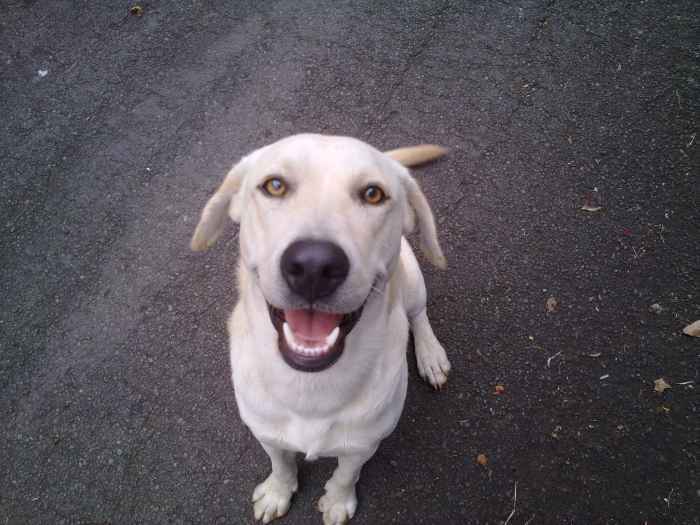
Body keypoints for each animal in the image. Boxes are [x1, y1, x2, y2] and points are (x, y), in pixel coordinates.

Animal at [190, 134, 448, 524]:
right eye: (275, 186)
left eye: (373, 194)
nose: (314, 266)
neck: (309, 386)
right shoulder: (266, 432)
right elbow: (281, 463)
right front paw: (278, 492)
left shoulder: (364, 444)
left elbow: (345, 474)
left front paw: (338, 501)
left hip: (413, 278)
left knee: (418, 315)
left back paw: (431, 356)